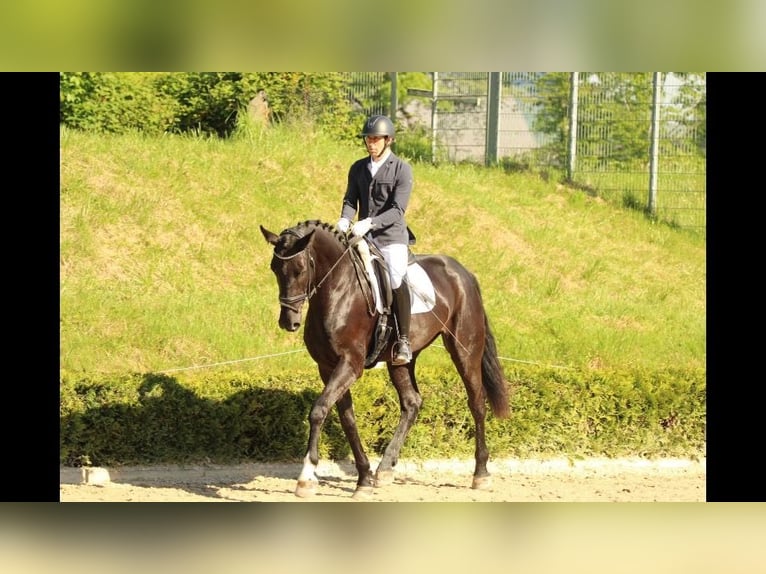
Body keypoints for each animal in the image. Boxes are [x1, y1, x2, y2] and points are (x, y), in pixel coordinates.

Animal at [260, 220, 512, 500]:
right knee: (412, 402)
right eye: (274, 268)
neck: (337, 289)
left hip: (464, 350)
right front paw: (364, 479)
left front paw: (306, 477)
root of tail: (463, 272)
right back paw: (385, 468)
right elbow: (348, 420)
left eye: (300, 269)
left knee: (476, 402)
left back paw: (481, 473)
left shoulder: (350, 364)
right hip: (401, 360)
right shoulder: (328, 368)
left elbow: (319, 410)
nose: (288, 322)